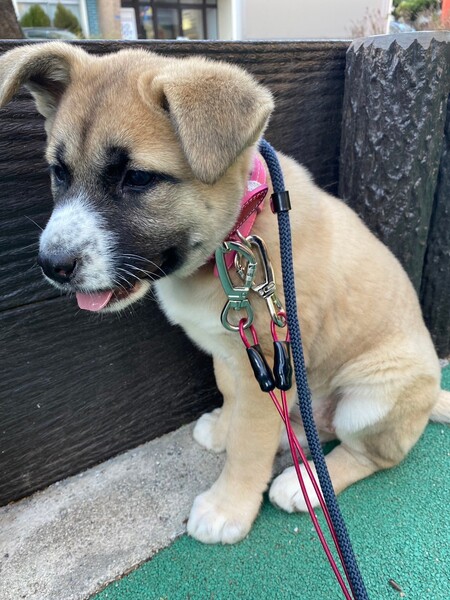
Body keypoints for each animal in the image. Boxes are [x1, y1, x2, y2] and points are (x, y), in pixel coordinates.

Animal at [1, 42, 449, 545]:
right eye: (59, 172)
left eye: (137, 179)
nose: (52, 265)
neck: (237, 231)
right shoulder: (238, 352)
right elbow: (230, 394)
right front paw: (223, 431)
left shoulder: (272, 362)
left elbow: (249, 446)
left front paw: (226, 507)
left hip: (374, 395)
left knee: (370, 454)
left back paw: (307, 483)